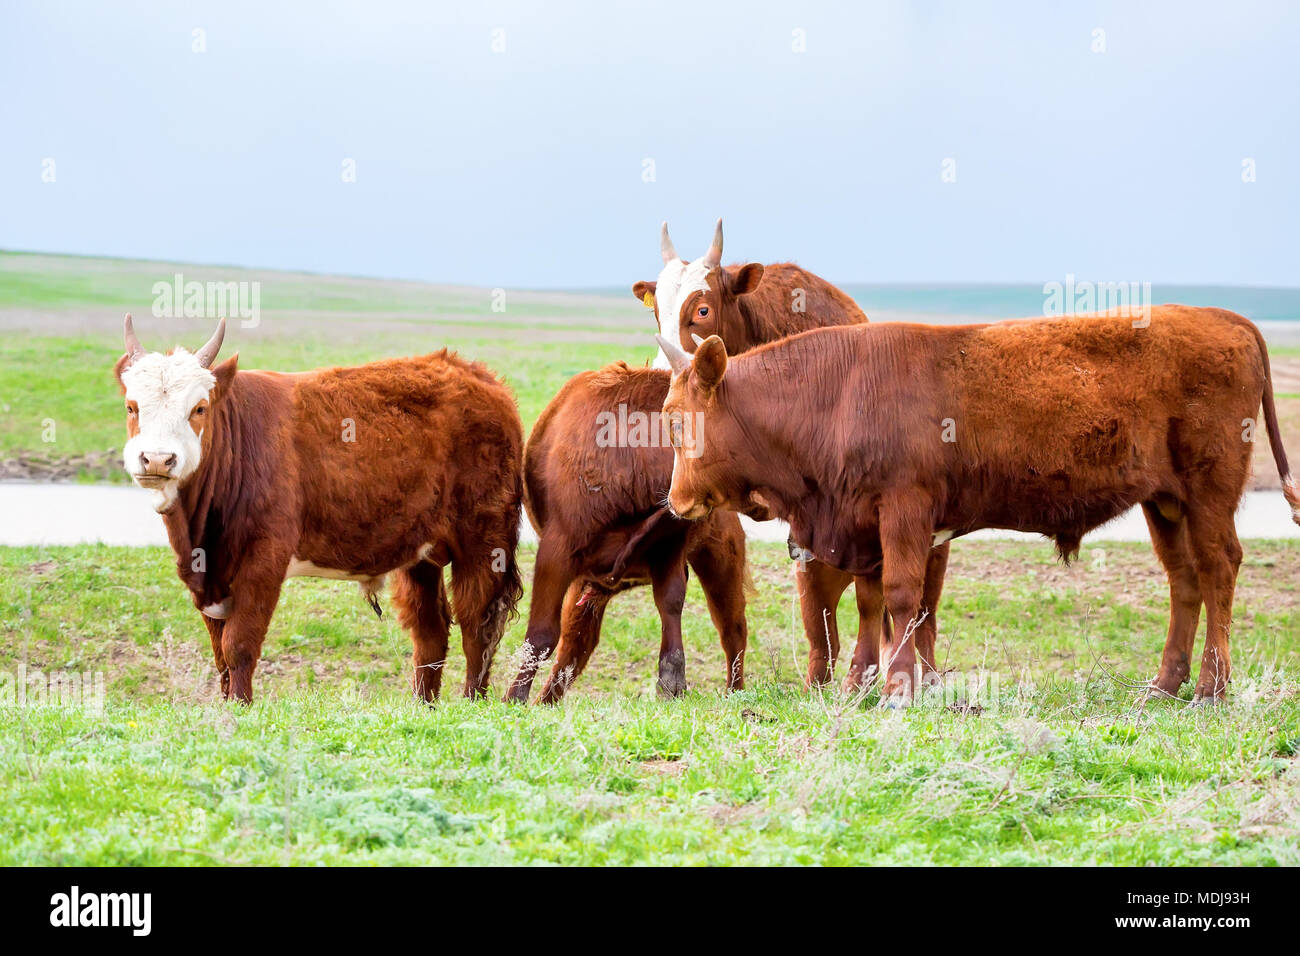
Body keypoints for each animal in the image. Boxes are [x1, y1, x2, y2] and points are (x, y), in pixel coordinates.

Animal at [114, 314, 524, 703]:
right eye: (132, 407)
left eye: (198, 408)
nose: (157, 458)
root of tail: (479, 376)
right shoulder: (210, 576)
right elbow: (220, 655)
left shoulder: (263, 562)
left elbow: (239, 646)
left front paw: (240, 708)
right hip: (420, 555)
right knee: (430, 632)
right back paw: (423, 706)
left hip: (483, 541)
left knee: (478, 625)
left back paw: (471, 701)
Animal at [504, 363, 749, 703]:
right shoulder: (557, 551)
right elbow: (541, 634)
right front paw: (514, 697)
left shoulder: (669, 547)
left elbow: (671, 603)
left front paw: (671, 680)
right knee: (574, 647)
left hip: (720, 557)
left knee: (732, 628)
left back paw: (735, 695)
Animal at [656, 306, 1300, 704]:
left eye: (679, 418)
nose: (677, 502)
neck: (837, 391)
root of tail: (1229, 320)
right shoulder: (865, 526)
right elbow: (878, 604)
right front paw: (871, 684)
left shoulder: (905, 511)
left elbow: (902, 597)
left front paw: (897, 689)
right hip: (1164, 503)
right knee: (1184, 579)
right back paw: (1165, 684)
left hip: (1209, 494)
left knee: (1218, 568)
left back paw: (1212, 688)